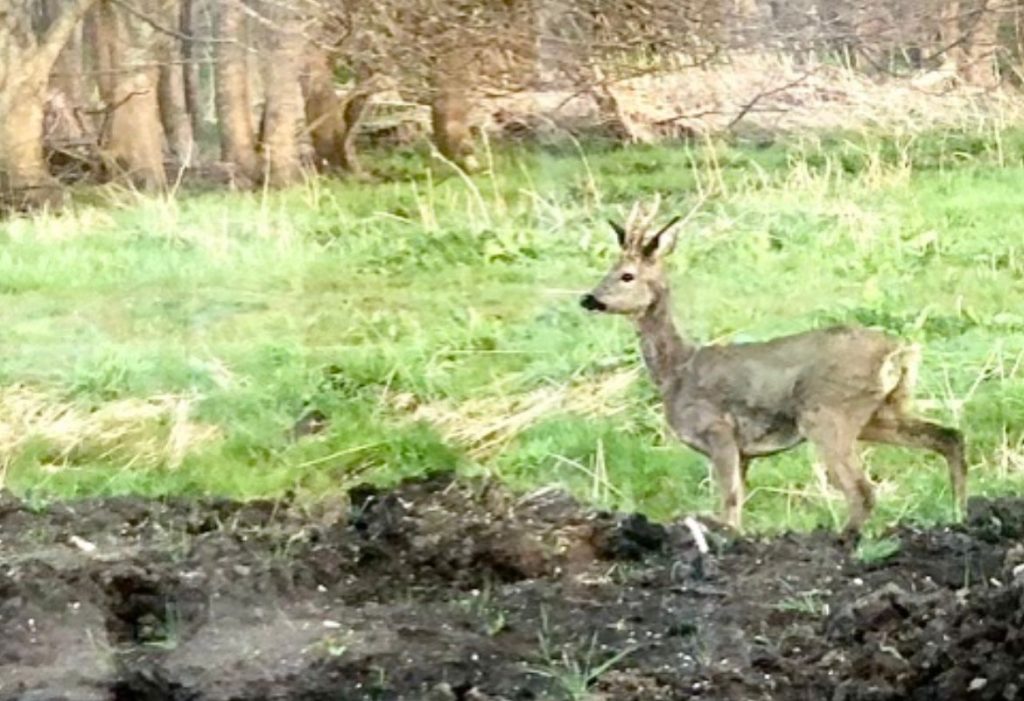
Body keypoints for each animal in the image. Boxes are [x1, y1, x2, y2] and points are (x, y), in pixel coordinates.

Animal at [581, 199, 962, 532]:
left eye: (626, 275)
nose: (589, 298)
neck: (675, 372)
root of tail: (898, 351)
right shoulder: (744, 451)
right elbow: (736, 500)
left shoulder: (718, 430)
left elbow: (730, 501)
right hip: (881, 411)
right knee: (948, 436)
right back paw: (957, 513)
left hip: (827, 412)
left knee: (862, 490)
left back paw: (844, 540)